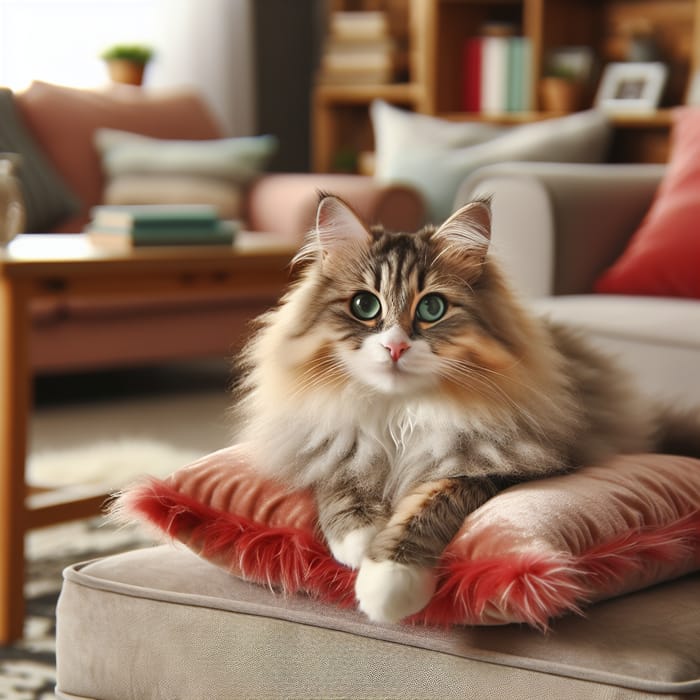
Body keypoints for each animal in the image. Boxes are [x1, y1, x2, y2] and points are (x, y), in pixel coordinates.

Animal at [234, 193, 700, 624]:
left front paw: (387, 583)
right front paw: (361, 540)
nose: (395, 347)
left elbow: (427, 507)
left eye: (431, 308)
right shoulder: (327, 441)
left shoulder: (496, 467)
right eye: (365, 306)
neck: (401, 414)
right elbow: (340, 479)